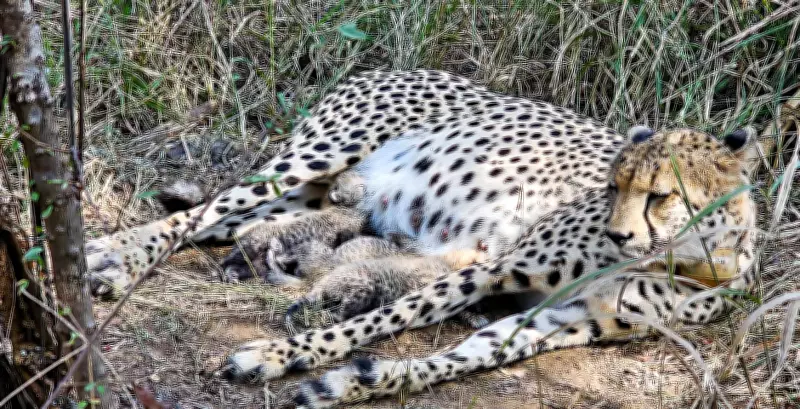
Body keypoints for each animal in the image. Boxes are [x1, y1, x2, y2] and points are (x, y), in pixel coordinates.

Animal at [82, 69, 766, 408]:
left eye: (661, 195)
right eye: (612, 185)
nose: (619, 231)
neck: (685, 260)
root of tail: (389, 64)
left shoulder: (564, 320)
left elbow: (457, 357)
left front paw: (354, 382)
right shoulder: (494, 268)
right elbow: (389, 316)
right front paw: (281, 354)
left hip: (312, 195)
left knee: (235, 225)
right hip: (317, 155)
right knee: (203, 212)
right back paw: (110, 257)